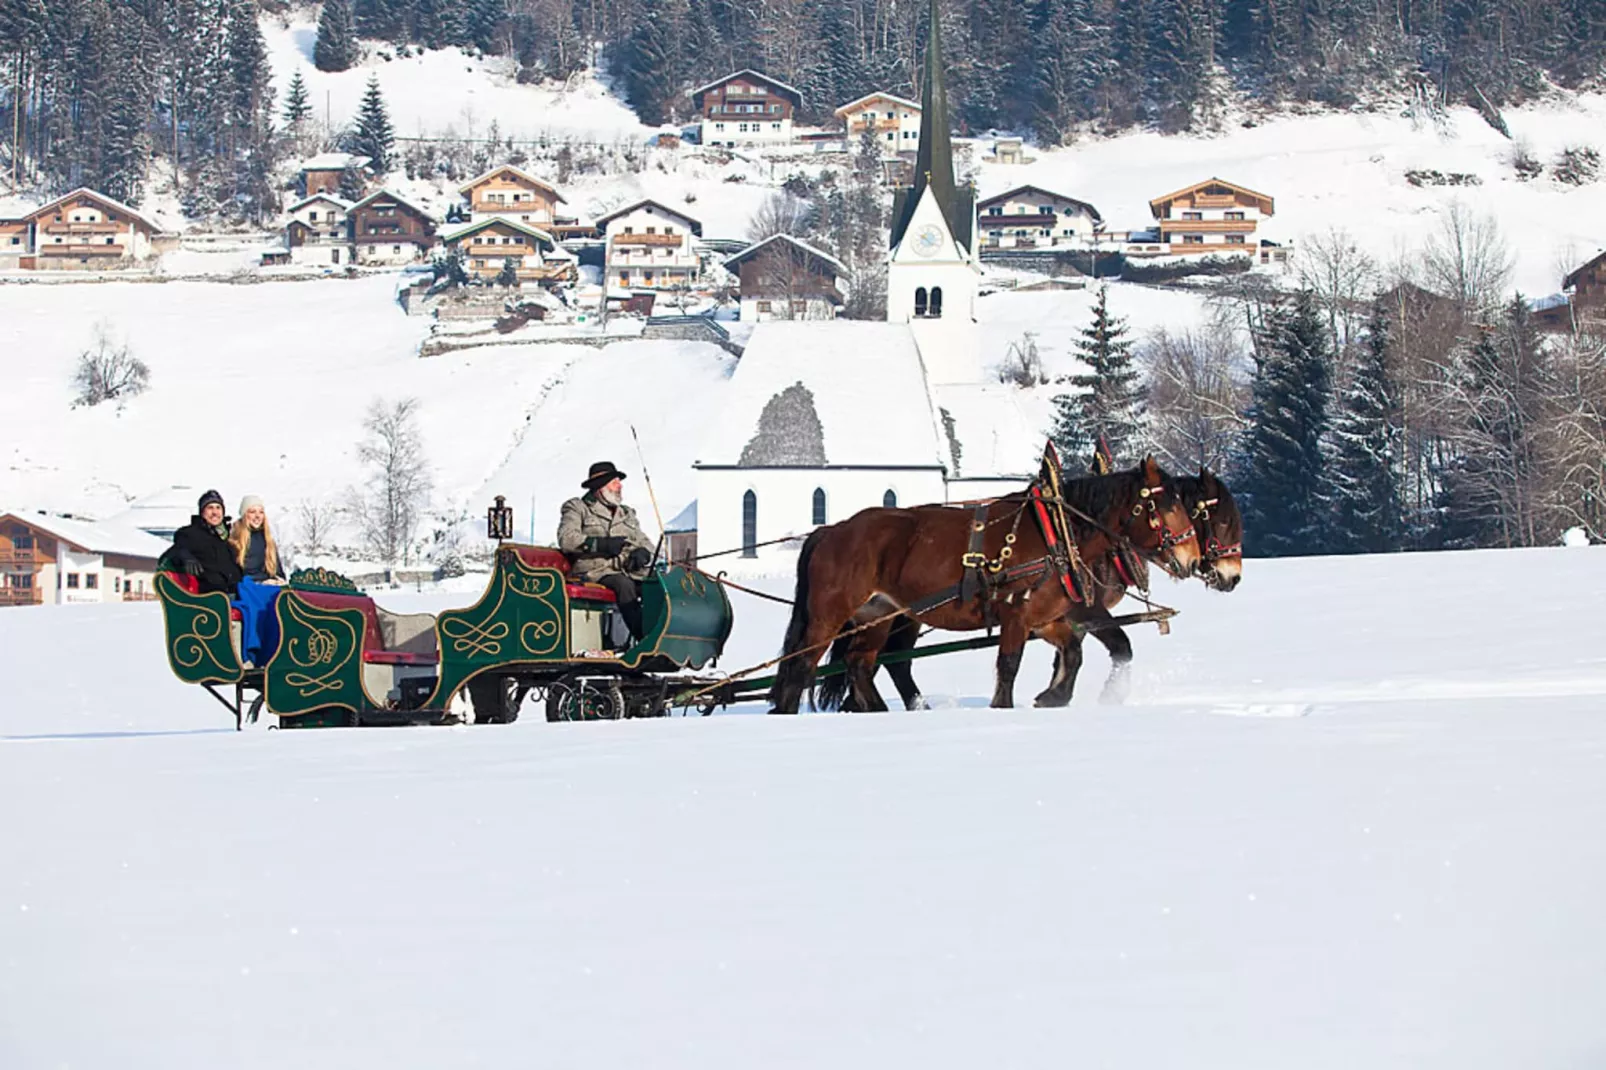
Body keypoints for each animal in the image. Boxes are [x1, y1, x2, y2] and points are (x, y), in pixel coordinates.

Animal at [767, 456, 1207, 713]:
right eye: (1165, 506)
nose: (1192, 559)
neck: (1058, 533)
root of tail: (830, 530)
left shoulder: (1044, 618)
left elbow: (1073, 652)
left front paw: (1052, 697)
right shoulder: (1017, 612)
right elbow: (1009, 665)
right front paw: (1004, 708)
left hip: (878, 614)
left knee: (861, 664)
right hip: (828, 616)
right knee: (802, 668)